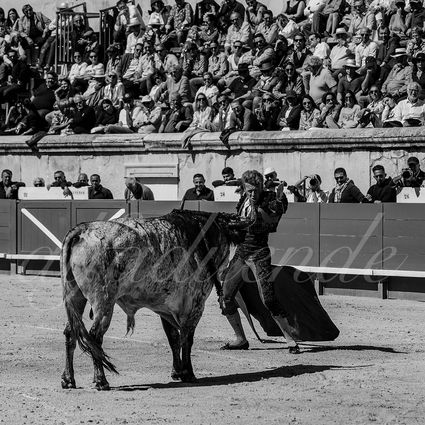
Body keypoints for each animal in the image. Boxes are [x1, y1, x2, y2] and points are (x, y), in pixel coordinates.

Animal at [59, 207, 252, 390]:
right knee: (95, 336)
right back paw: (101, 380)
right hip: (104, 302)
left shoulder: (165, 307)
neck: (201, 234)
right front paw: (188, 373)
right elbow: (186, 339)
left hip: (75, 297)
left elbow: (173, 338)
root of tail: (82, 229)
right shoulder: (195, 305)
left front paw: (177, 372)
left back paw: (68, 379)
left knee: (71, 332)